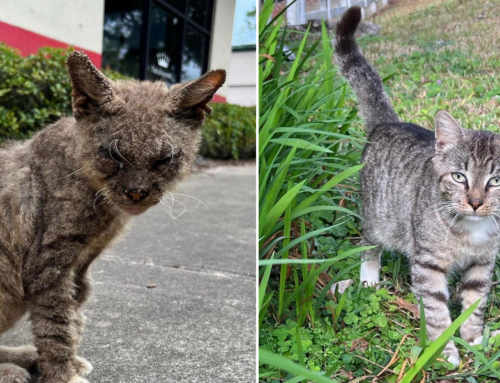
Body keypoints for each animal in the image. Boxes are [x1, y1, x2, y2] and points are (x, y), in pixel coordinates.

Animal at [0, 51, 225, 383]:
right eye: (114, 155)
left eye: (164, 159)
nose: (136, 192)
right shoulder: (48, 269)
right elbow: (56, 328)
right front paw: (62, 374)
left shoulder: (79, 270)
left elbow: (73, 320)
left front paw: (65, 364)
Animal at [336, 5, 500, 366]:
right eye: (459, 176)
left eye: (496, 180)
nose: (475, 202)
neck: (472, 228)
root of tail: (388, 122)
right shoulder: (428, 264)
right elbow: (437, 310)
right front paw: (445, 353)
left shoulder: (483, 264)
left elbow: (475, 303)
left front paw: (473, 339)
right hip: (378, 215)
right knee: (369, 245)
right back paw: (369, 278)